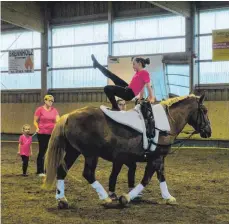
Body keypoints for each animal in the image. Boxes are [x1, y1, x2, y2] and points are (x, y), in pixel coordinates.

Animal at [43, 93, 211, 208]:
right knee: (88, 174)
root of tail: (68, 116)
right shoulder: (156, 158)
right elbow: (147, 179)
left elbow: (161, 176)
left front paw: (168, 197)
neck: (164, 122)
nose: (208, 131)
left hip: (73, 151)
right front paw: (127, 198)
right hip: (91, 154)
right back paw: (105, 198)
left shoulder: (158, 158)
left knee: (61, 170)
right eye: (204, 110)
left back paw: (62, 200)